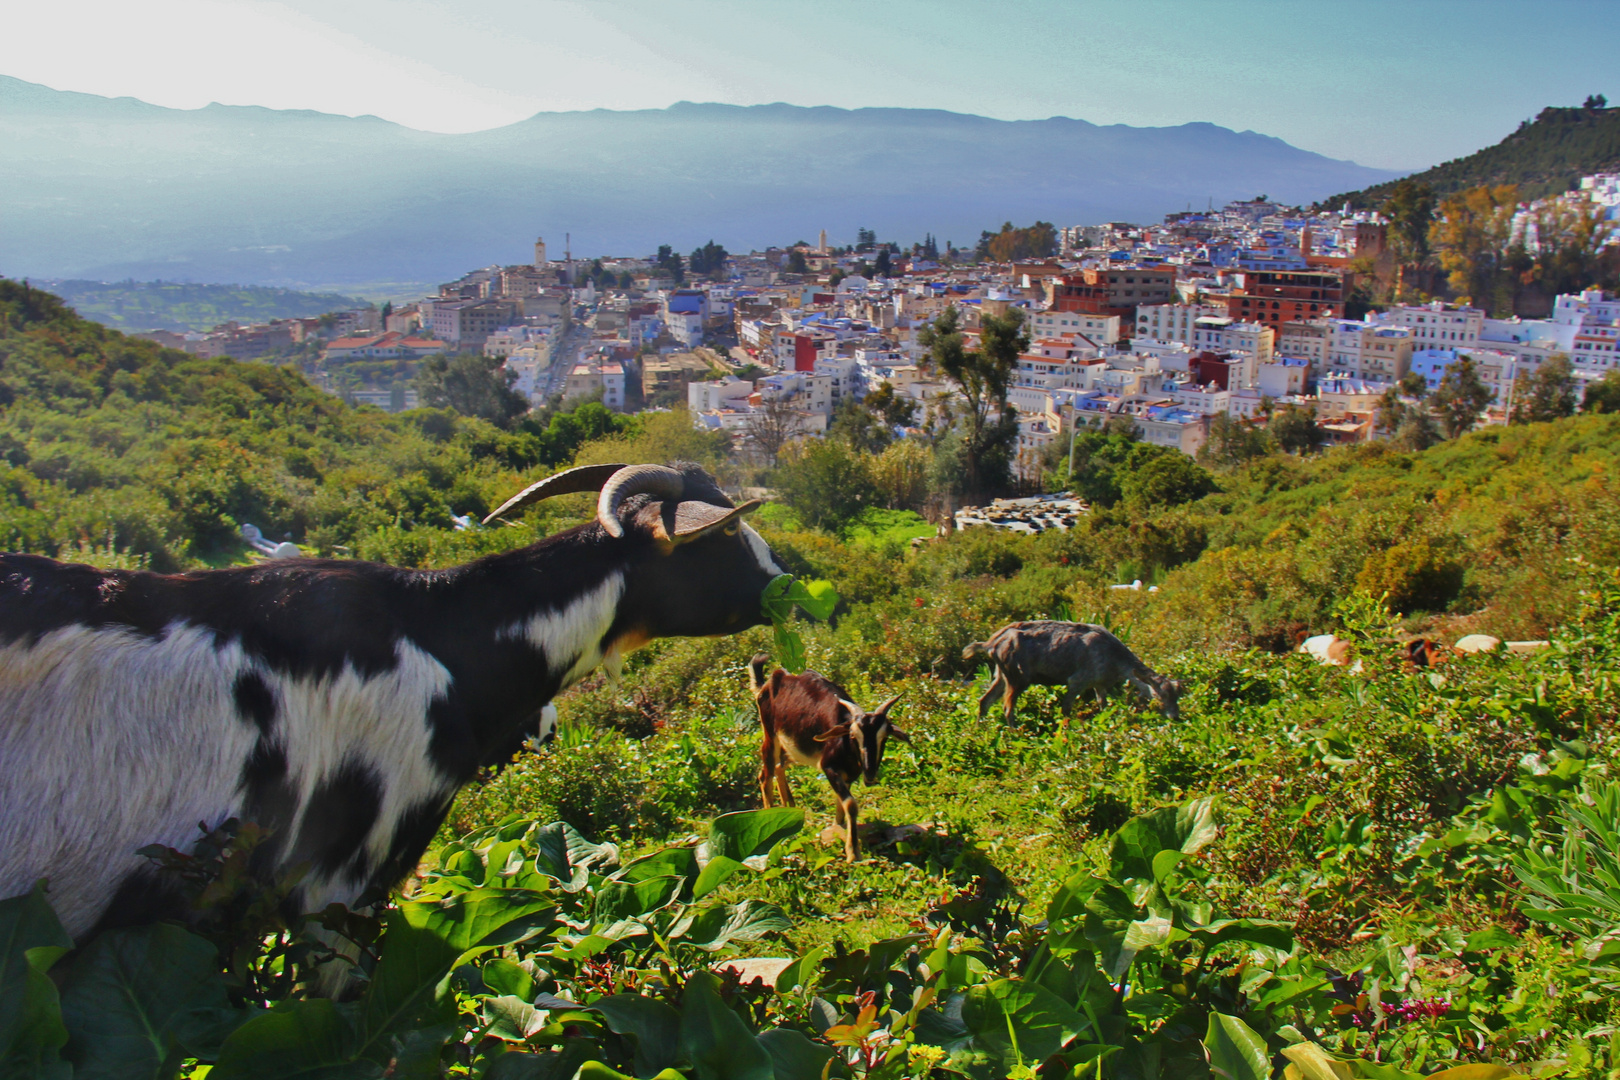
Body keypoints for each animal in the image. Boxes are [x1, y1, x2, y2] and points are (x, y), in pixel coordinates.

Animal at [959, 621, 1179, 722]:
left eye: (1178, 695)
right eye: (1160, 696)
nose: (1176, 716)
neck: (1114, 661)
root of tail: (991, 643)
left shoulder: (1099, 683)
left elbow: (1103, 705)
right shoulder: (1078, 680)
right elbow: (1066, 709)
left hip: (1001, 674)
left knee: (984, 701)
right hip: (1018, 676)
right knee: (1007, 707)